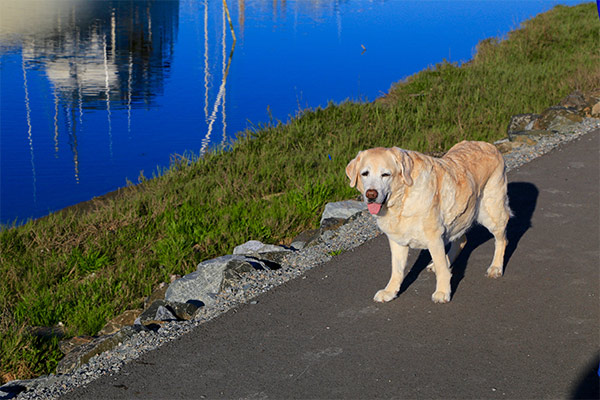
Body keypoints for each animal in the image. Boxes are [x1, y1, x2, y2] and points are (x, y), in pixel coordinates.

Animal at [346, 141, 510, 304]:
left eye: (385, 174)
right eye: (365, 173)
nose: (371, 194)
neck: (402, 198)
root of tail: (490, 145)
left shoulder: (434, 237)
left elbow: (442, 269)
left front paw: (442, 292)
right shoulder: (397, 240)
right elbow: (396, 270)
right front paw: (390, 291)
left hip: (491, 212)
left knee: (502, 240)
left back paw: (496, 267)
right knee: (462, 240)